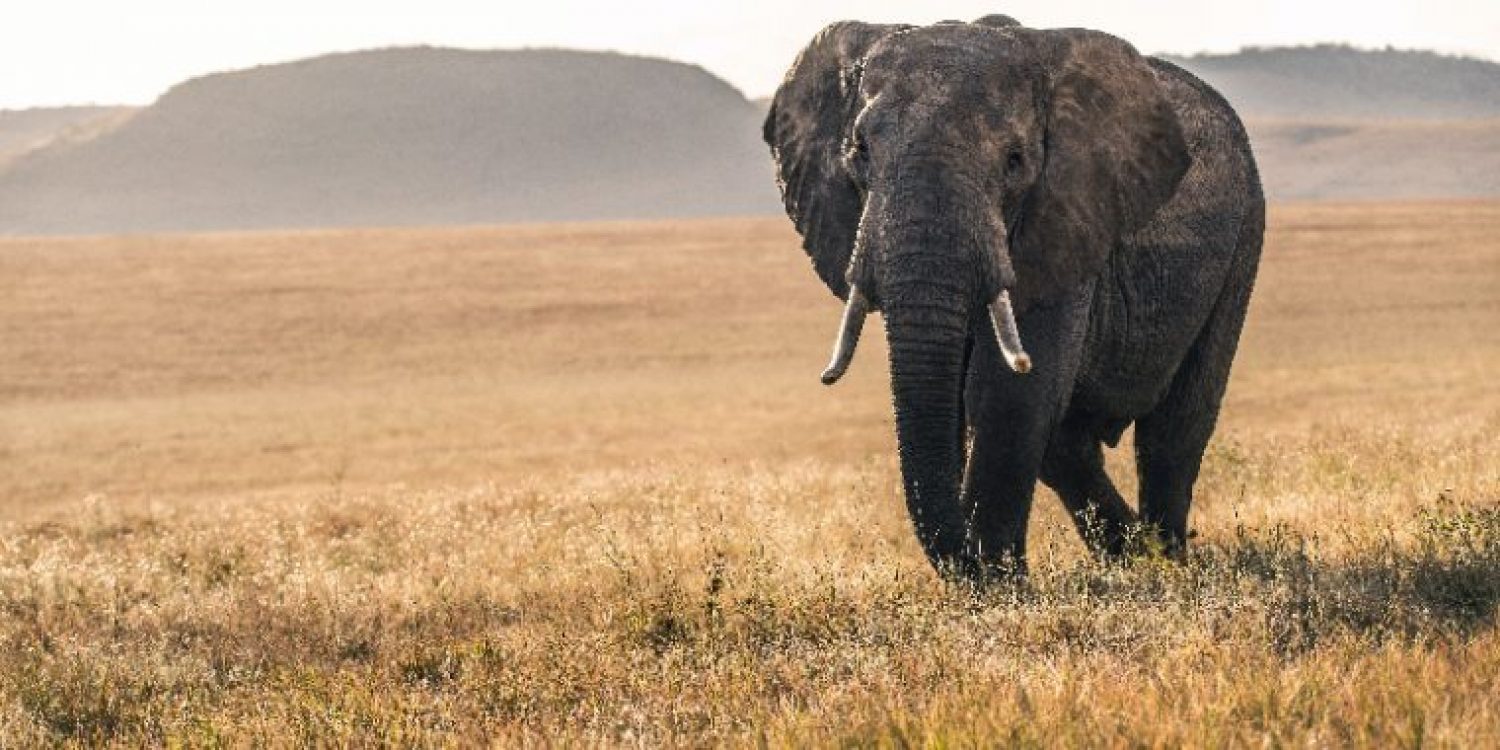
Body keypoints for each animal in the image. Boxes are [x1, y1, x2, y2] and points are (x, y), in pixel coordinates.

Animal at [763, 15, 1264, 579]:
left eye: (1015, 160)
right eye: (860, 152)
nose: (970, 562)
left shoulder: (1066, 216)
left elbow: (1006, 394)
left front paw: (1000, 585)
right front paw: (993, 577)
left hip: (1245, 233)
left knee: (1175, 428)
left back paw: (1165, 562)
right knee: (1068, 445)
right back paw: (1131, 556)